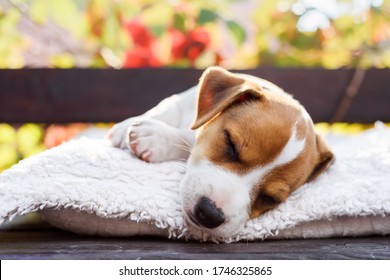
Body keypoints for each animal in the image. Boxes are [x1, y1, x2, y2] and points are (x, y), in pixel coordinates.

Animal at [108, 66, 334, 238]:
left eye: (270, 199)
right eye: (230, 145)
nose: (210, 214)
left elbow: (187, 137)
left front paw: (155, 137)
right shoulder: (181, 101)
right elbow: (167, 110)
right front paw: (127, 127)